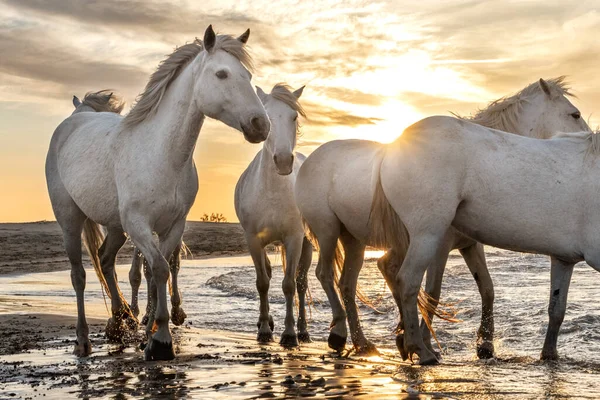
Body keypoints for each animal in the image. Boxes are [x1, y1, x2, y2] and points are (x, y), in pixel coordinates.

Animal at [47, 25, 270, 362]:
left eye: (248, 75)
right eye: (221, 74)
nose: (261, 125)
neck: (161, 153)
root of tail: (70, 123)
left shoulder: (173, 225)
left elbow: (159, 272)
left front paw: (153, 332)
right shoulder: (139, 224)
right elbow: (160, 269)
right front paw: (161, 341)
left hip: (115, 226)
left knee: (106, 260)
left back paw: (119, 322)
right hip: (71, 220)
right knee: (79, 275)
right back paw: (83, 341)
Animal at [233, 83, 312, 346]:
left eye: (294, 116)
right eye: (268, 117)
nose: (284, 161)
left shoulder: (294, 239)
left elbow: (289, 285)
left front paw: (289, 334)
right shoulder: (253, 240)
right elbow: (262, 282)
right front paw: (265, 330)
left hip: (307, 243)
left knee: (301, 282)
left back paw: (303, 331)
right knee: (267, 272)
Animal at [292, 77, 588, 356]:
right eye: (574, 114)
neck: (476, 165)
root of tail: (309, 160)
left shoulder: (470, 245)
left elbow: (487, 288)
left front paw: (485, 344)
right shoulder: (438, 245)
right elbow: (433, 291)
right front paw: (422, 342)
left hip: (354, 239)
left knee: (348, 284)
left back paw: (363, 342)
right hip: (328, 231)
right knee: (325, 274)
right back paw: (340, 334)